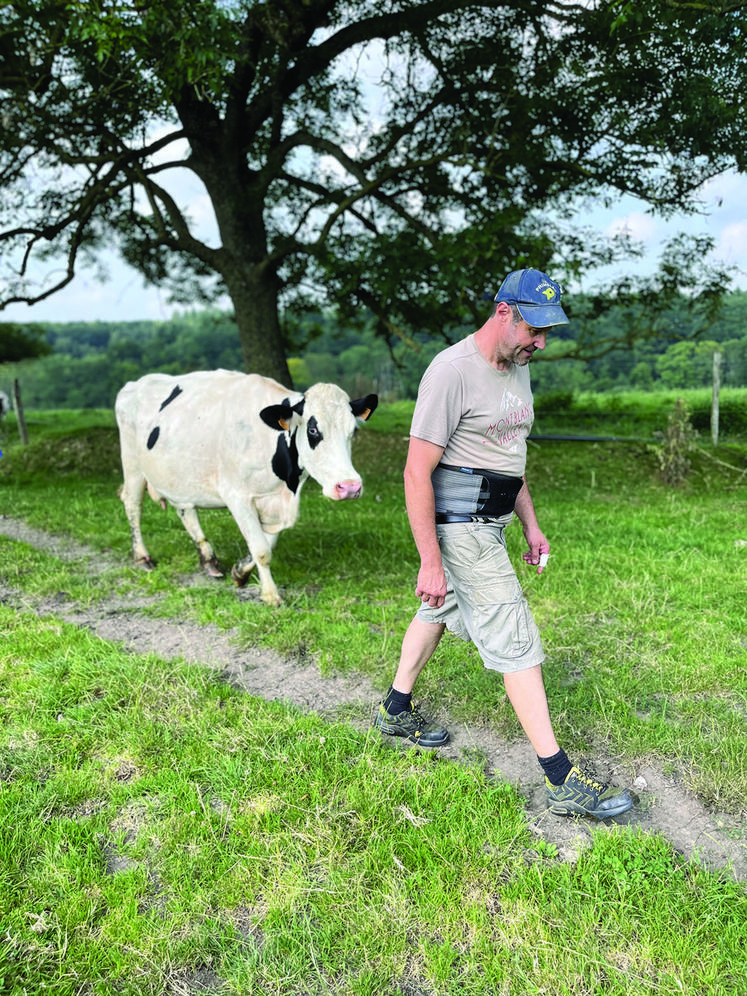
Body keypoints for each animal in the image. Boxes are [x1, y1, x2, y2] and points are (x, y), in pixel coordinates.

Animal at [115, 372, 380, 608]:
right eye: (313, 430)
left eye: (353, 431)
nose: (349, 486)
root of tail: (135, 383)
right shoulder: (237, 497)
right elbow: (262, 549)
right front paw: (270, 595)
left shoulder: (274, 501)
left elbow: (265, 544)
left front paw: (239, 571)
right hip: (133, 463)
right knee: (132, 504)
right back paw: (142, 557)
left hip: (179, 475)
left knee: (185, 510)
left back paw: (208, 560)